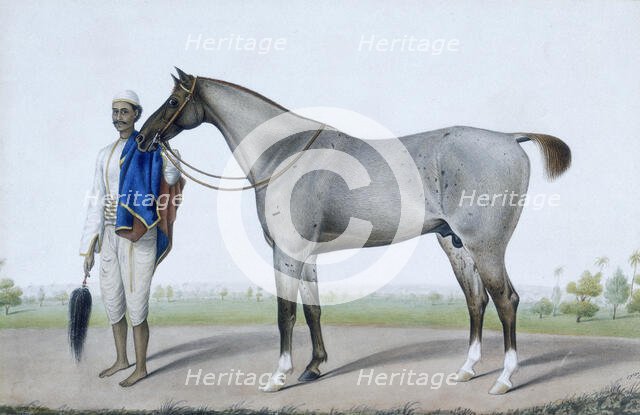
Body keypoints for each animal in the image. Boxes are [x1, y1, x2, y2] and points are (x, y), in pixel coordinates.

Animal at [137, 68, 571, 394]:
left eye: (173, 101)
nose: (142, 138)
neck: (286, 152)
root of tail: (509, 138)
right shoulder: (306, 254)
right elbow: (312, 309)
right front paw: (313, 368)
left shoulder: (286, 252)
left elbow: (285, 313)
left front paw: (279, 376)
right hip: (456, 245)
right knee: (476, 301)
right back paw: (467, 370)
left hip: (486, 247)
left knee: (506, 300)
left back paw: (504, 379)